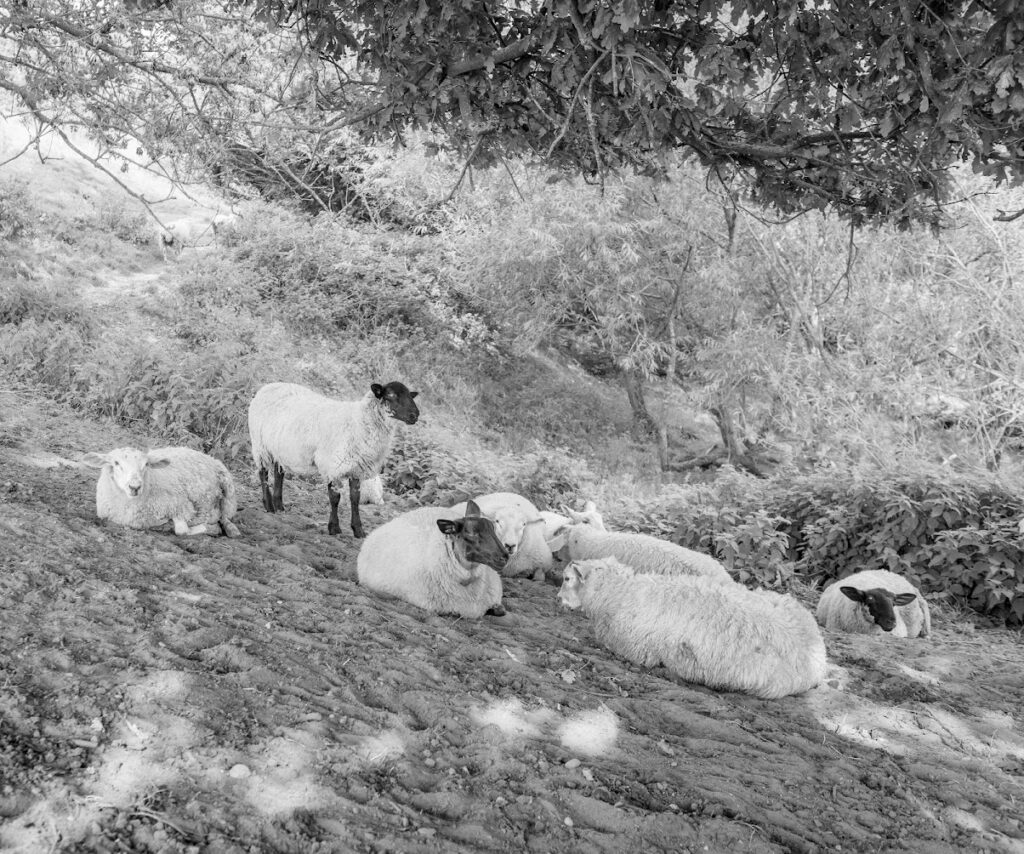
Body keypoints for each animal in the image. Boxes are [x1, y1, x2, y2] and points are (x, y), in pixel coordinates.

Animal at [80, 442, 240, 536]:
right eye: (116, 463)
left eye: (146, 464)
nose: (135, 487)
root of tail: (213, 459)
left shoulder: (181, 506)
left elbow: (181, 531)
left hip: (219, 500)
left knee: (221, 520)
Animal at [245, 380, 417, 536]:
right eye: (391, 395)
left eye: (410, 395)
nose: (415, 415)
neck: (358, 422)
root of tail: (268, 386)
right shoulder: (332, 465)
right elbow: (335, 498)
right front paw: (334, 528)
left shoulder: (356, 467)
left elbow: (355, 499)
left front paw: (358, 530)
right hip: (260, 444)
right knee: (263, 473)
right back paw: (268, 505)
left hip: (278, 447)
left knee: (278, 473)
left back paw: (279, 505)